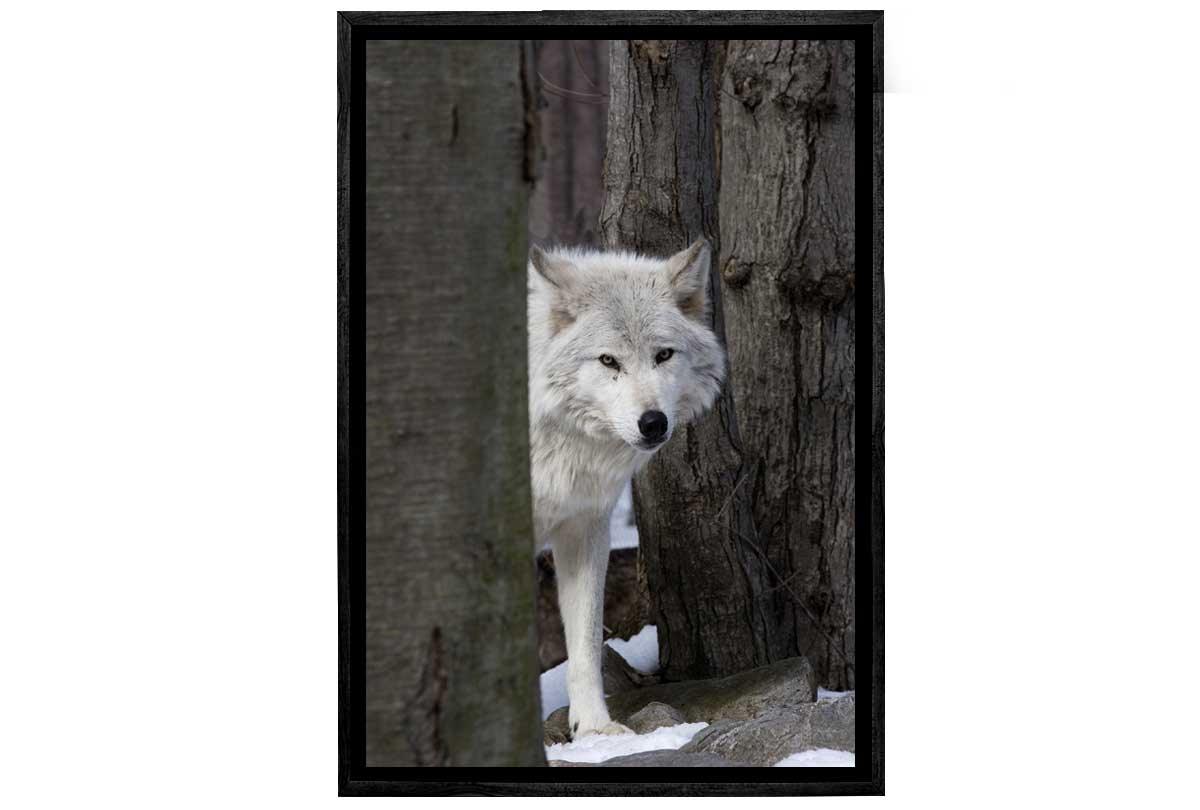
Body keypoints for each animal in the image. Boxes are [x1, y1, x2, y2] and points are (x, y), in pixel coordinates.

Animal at [527, 238, 726, 738]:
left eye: (664, 355)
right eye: (608, 360)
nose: (652, 423)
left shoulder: (585, 529)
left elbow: (584, 644)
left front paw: (595, 730)